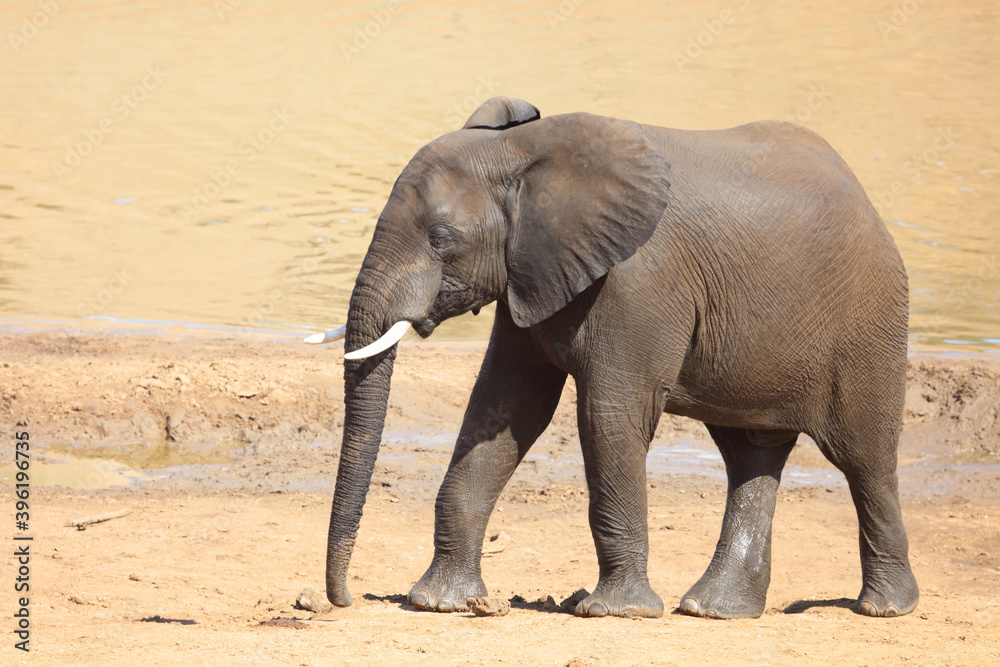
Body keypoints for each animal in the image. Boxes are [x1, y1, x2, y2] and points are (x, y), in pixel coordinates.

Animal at [309, 97, 918, 620]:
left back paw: (884, 608)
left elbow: (608, 415)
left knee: (864, 457)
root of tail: (867, 202)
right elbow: (505, 408)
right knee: (750, 455)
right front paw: (440, 603)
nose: (343, 600)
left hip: (869, 323)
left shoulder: (638, 282)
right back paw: (713, 611)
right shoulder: (529, 270)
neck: (523, 153)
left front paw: (615, 611)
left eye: (440, 238)